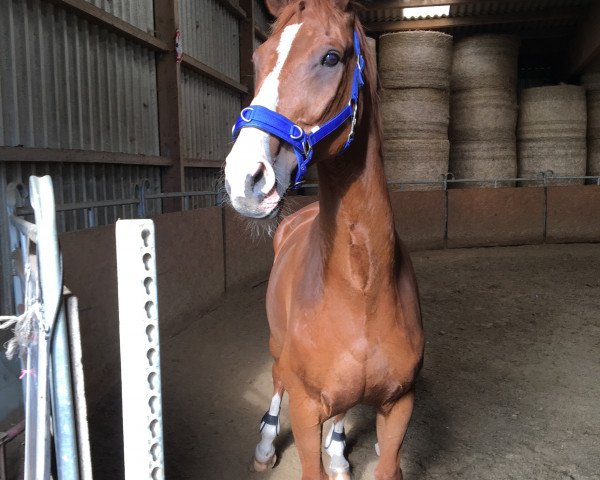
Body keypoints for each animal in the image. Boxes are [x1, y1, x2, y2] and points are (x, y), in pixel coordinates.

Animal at [223, 1, 424, 478]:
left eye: (331, 57)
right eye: (258, 59)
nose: (244, 179)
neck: (362, 288)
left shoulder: (399, 407)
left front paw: (337, 452)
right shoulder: (305, 406)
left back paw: (337, 451)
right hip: (277, 348)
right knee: (276, 379)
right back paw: (265, 447)